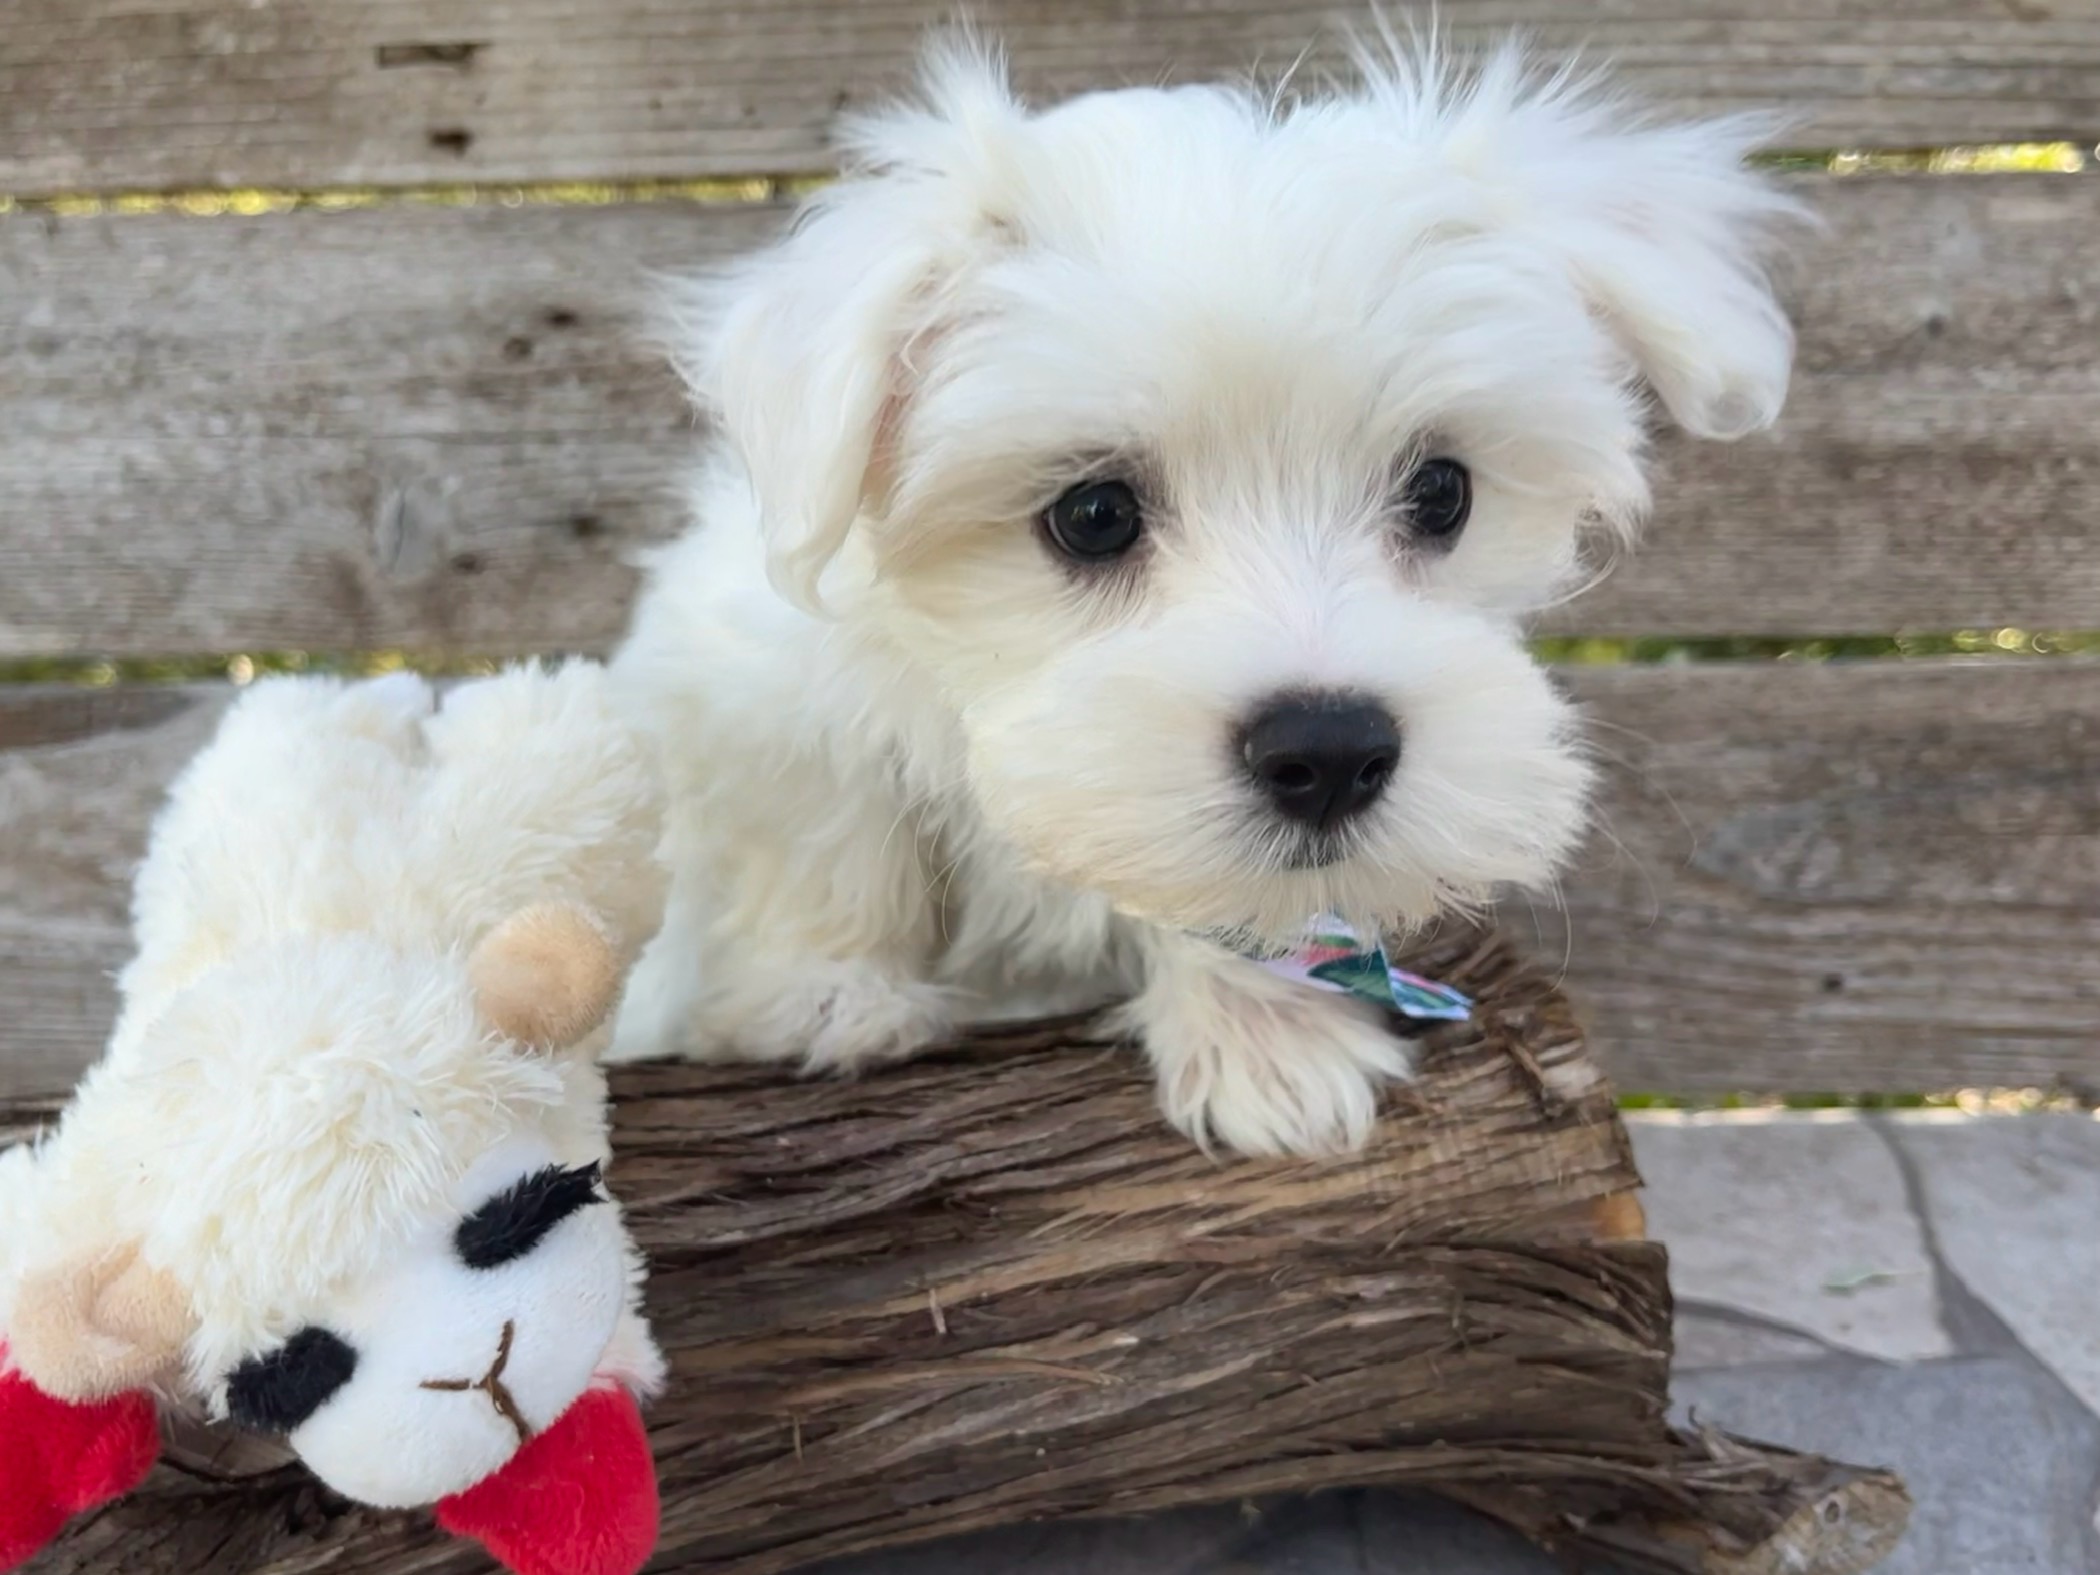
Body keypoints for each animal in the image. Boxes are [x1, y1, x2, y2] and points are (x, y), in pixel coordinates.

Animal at [613, 27, 1805, 1159]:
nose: (1328, 751)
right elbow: (822, 820)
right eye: (1093, 513)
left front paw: (1268, 1040)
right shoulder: (757, 676)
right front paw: (817, 997)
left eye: (1442, 493)